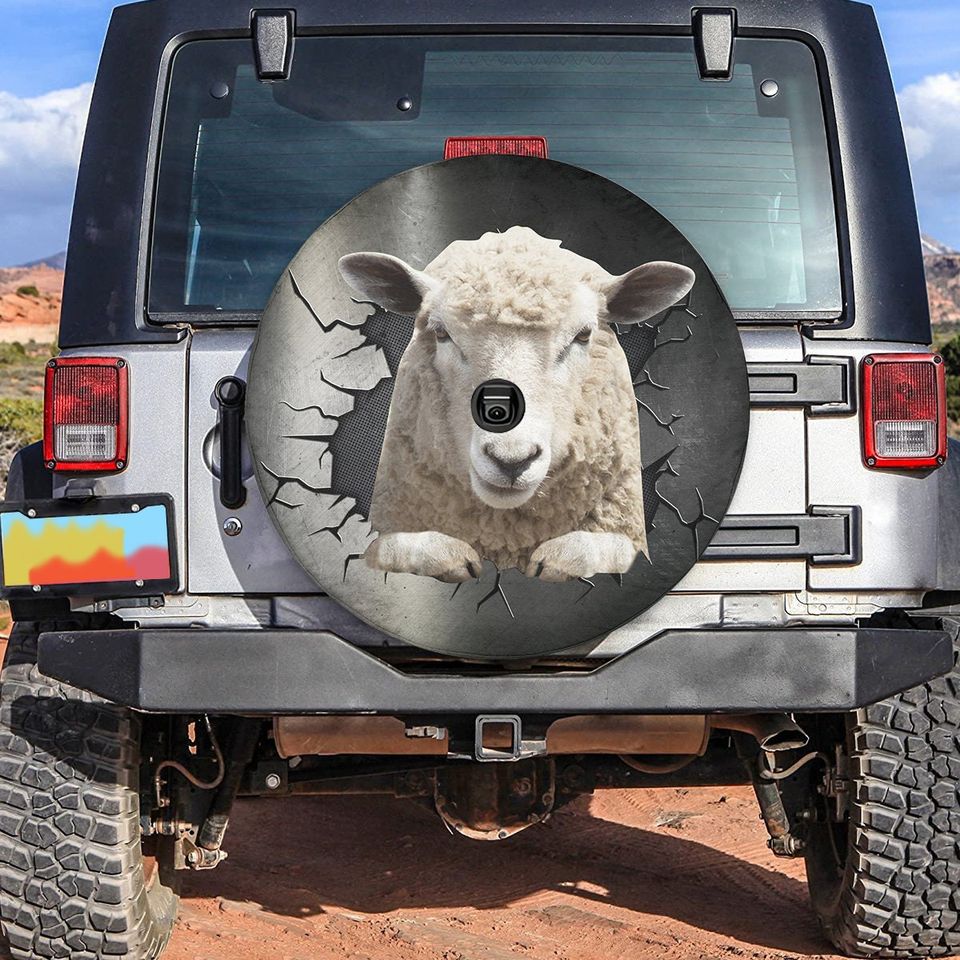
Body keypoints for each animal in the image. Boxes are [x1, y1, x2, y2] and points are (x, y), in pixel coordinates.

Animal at [338, 226, 695, 582]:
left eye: (583, 335)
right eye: (440, 333)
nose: (511, 460)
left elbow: (611, 548)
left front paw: (563, 557)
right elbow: (393, 546)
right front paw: (445, 554)